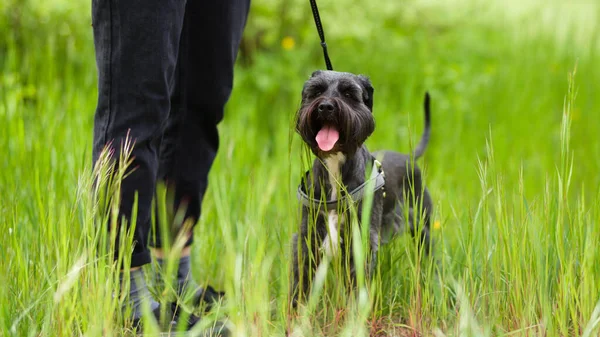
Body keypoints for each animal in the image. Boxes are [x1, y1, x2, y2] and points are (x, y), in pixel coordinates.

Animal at [290, 69, 432, 306]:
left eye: (349, 94)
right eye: (316, 91)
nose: (326, 106)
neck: (335, 167)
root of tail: (408, 157)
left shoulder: (362, 241)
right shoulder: (307, 237)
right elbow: (301, 280)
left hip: (423, 227)